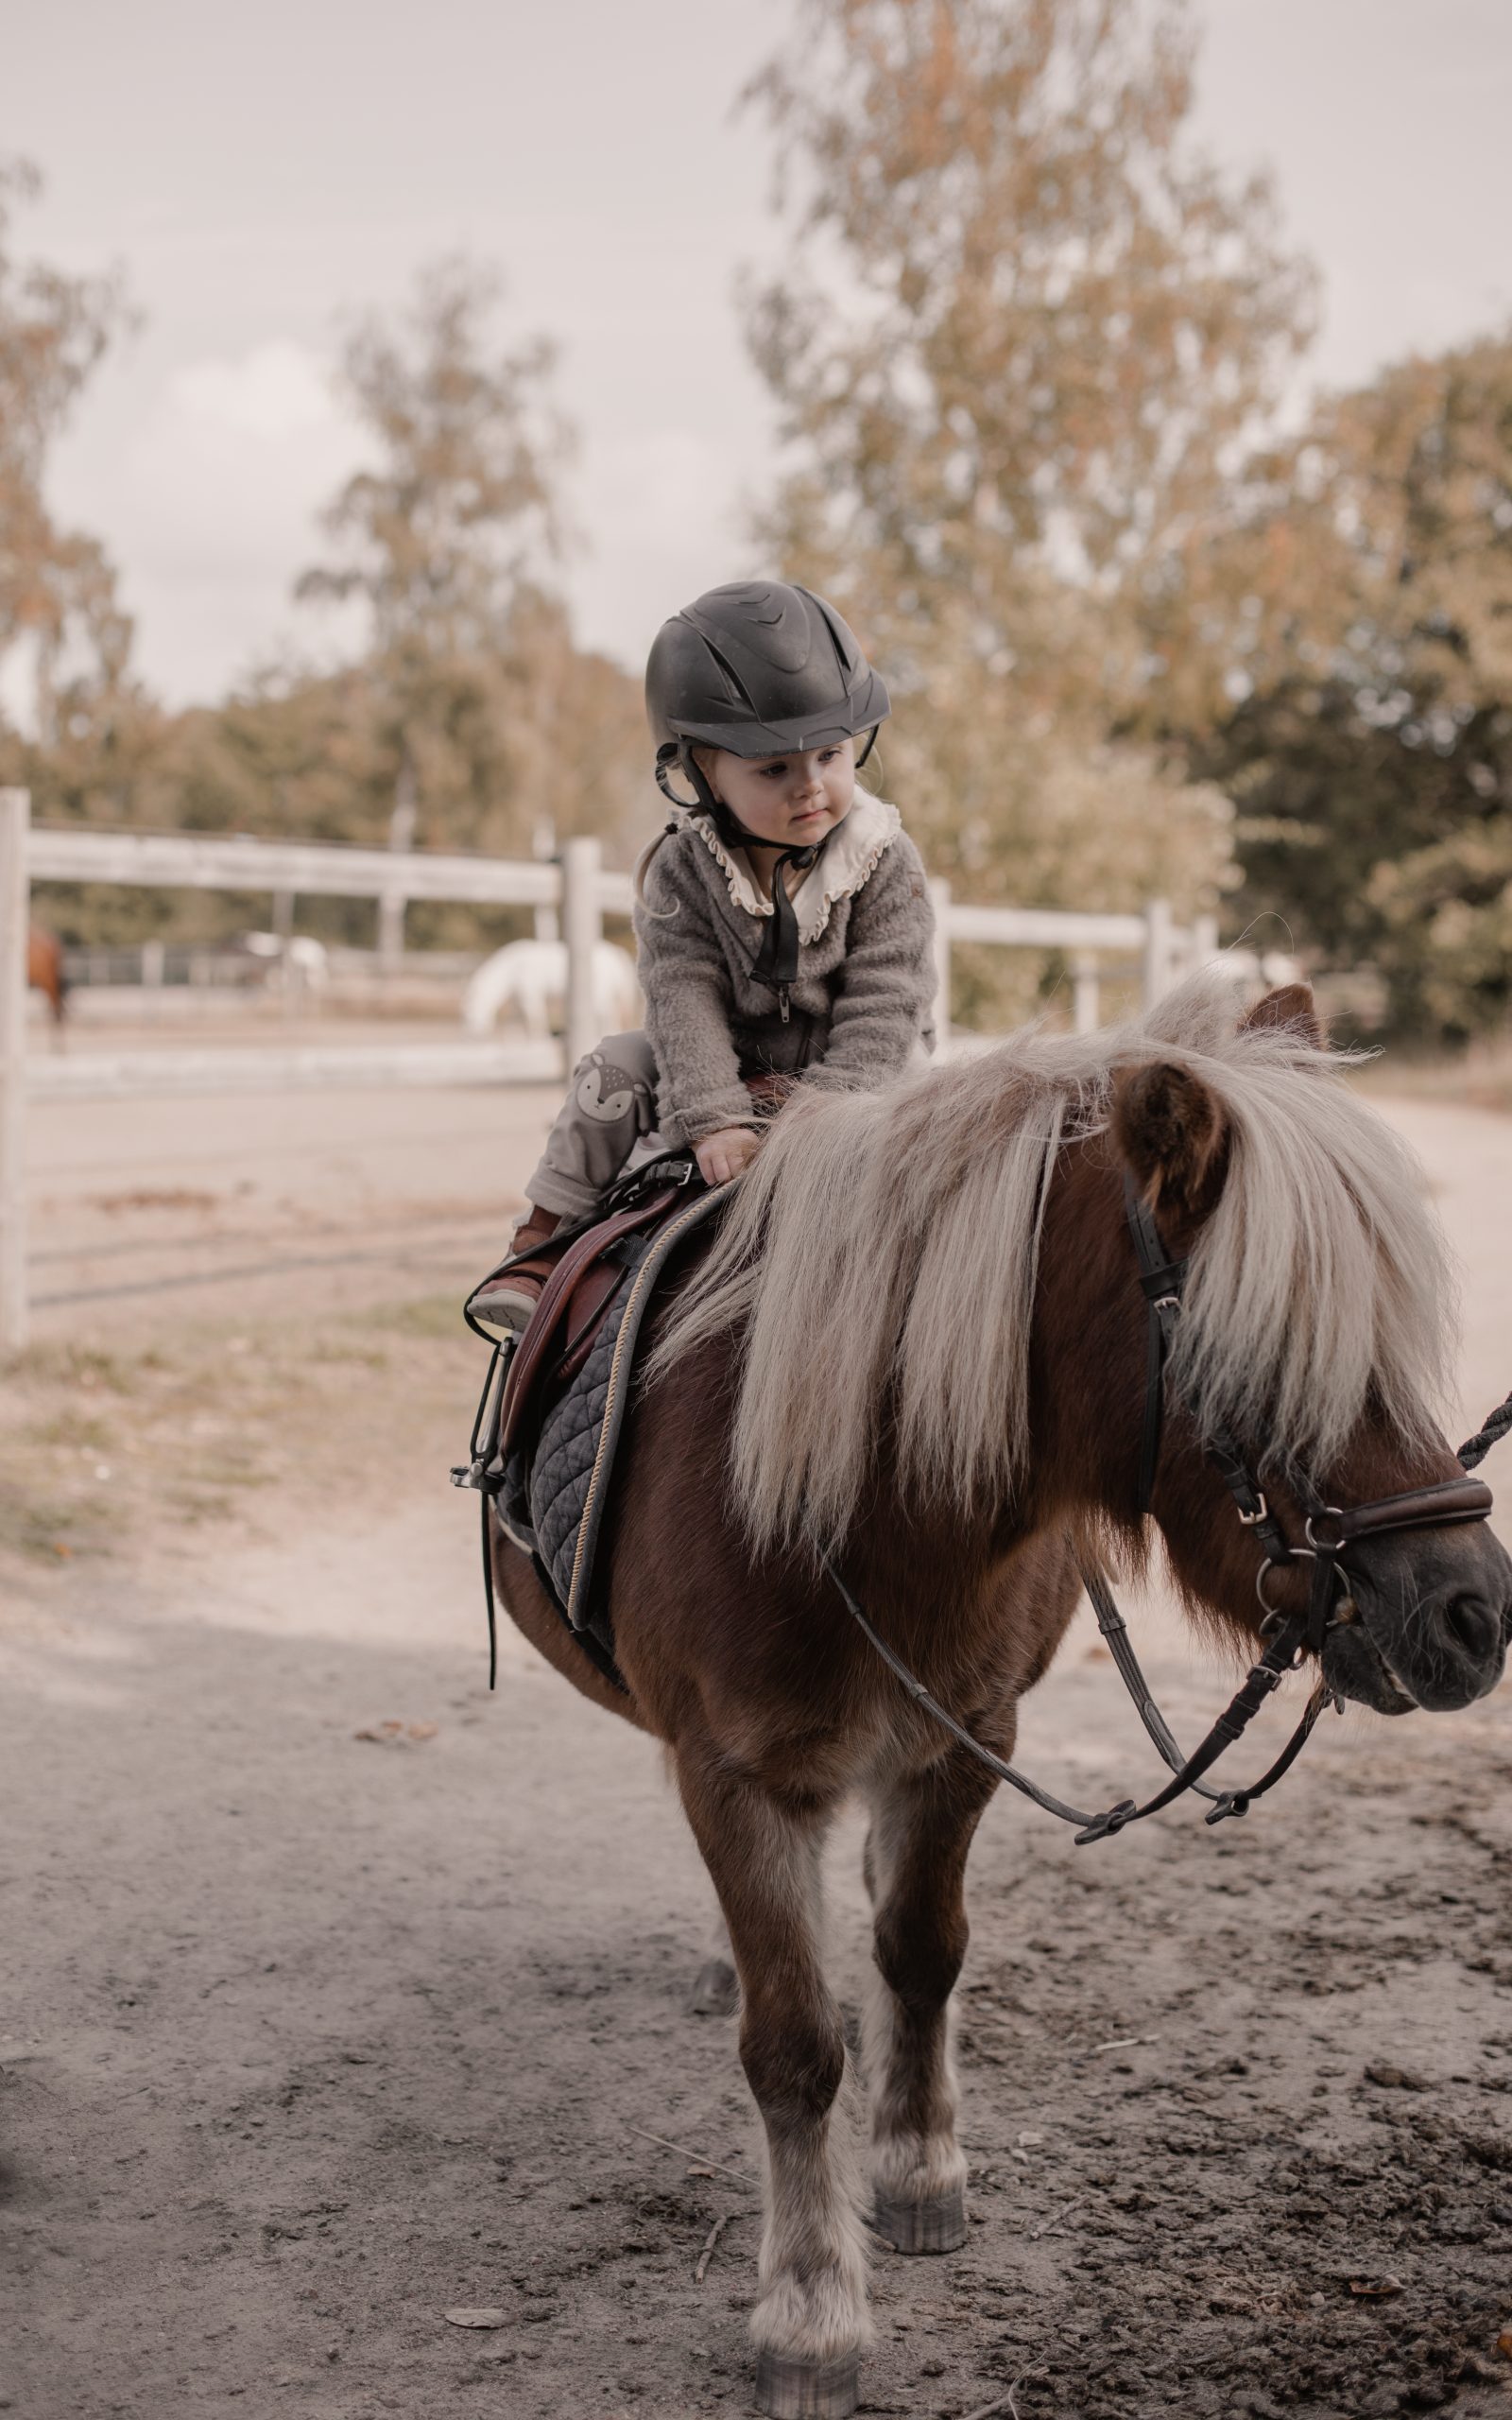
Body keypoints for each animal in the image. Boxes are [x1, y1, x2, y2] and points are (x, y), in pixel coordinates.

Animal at [459, 934, 638, 1040]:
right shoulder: (518, 1000)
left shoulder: (531, 993)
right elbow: (518, 1020)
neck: (512, 971)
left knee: (608, 1015)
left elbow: (535, 1016)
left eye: (469, 1012)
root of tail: (613, 953)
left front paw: (538, 1039)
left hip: (600, 994)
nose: (474, 1033)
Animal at [493, 982, 1509, 2420]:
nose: (1473, 1615)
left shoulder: (966, 1740)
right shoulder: (738, 1773)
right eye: (1268, 1358)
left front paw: (918, 2170)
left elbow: (921, 1952)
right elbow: (793, 2044)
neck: (866, 1503)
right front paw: (811, 2311)